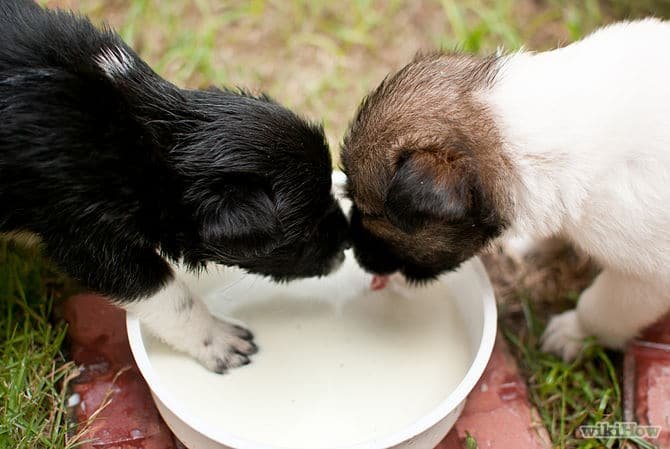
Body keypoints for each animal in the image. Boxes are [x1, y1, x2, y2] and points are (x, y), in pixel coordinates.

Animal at [2, 0, 352, 372]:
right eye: (306, 230)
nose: (347, 239)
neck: (142, 139)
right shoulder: (88, 236)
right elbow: (170, 295)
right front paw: (219, 340)